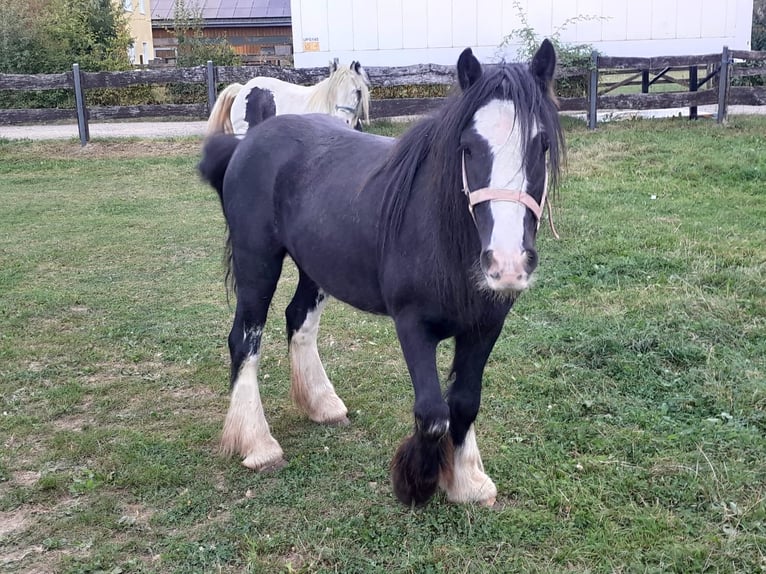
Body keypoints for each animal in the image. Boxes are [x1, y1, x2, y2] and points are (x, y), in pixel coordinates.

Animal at [200, 40, 564, 506]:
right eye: (467, 147)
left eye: (541, 145)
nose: (507, 265)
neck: (443, 234)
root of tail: (248, 143)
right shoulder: (412, 324)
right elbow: (432, 413)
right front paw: (417, 481)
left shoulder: (485, 327)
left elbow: (465, 403)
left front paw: (466, 481)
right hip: (256, 262)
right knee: (245, 338)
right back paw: (258, 444)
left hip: (316, 265)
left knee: (298, 319)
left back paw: (322, 405)